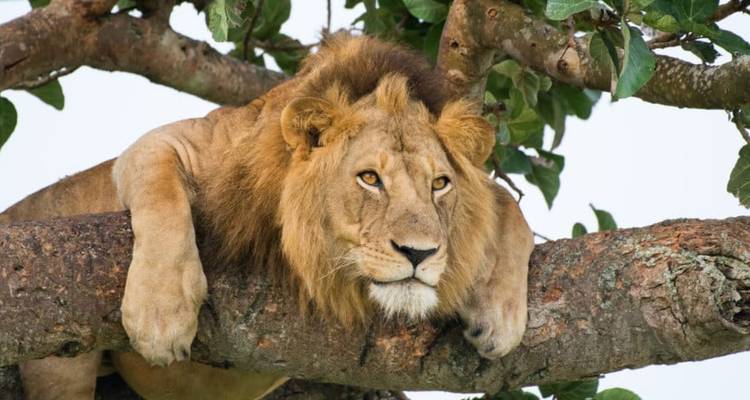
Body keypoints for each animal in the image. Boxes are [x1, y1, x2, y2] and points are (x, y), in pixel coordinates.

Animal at [0, 34, 534, 400]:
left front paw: (500, 316)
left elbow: (507, 204)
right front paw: (161, 315)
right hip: (60, 369)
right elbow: (161, 196)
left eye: (439, 184)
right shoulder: (168, 144)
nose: (419, 253)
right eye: (369, 179)